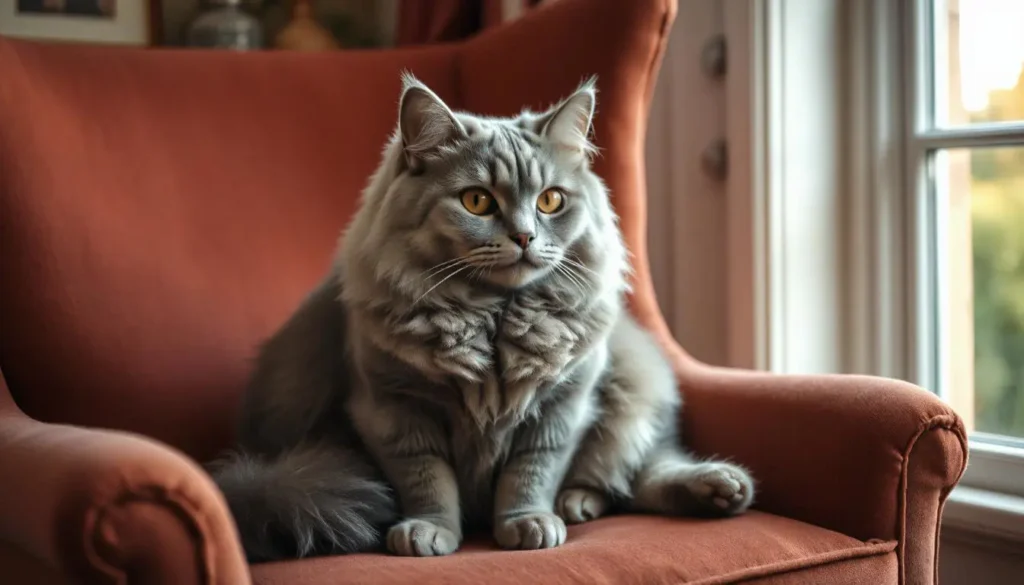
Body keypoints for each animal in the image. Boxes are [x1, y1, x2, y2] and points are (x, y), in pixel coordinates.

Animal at [209, 74, 753, 561]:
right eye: (477, 201)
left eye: (550, 200)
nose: (525, 236)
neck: (494, 320)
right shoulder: (395, 410)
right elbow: (429, 482)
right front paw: (430, 532)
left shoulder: (561, 407)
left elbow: (529, 476)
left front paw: (529, 523)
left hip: (630, 395)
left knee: (639, 469)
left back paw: (701, 489)